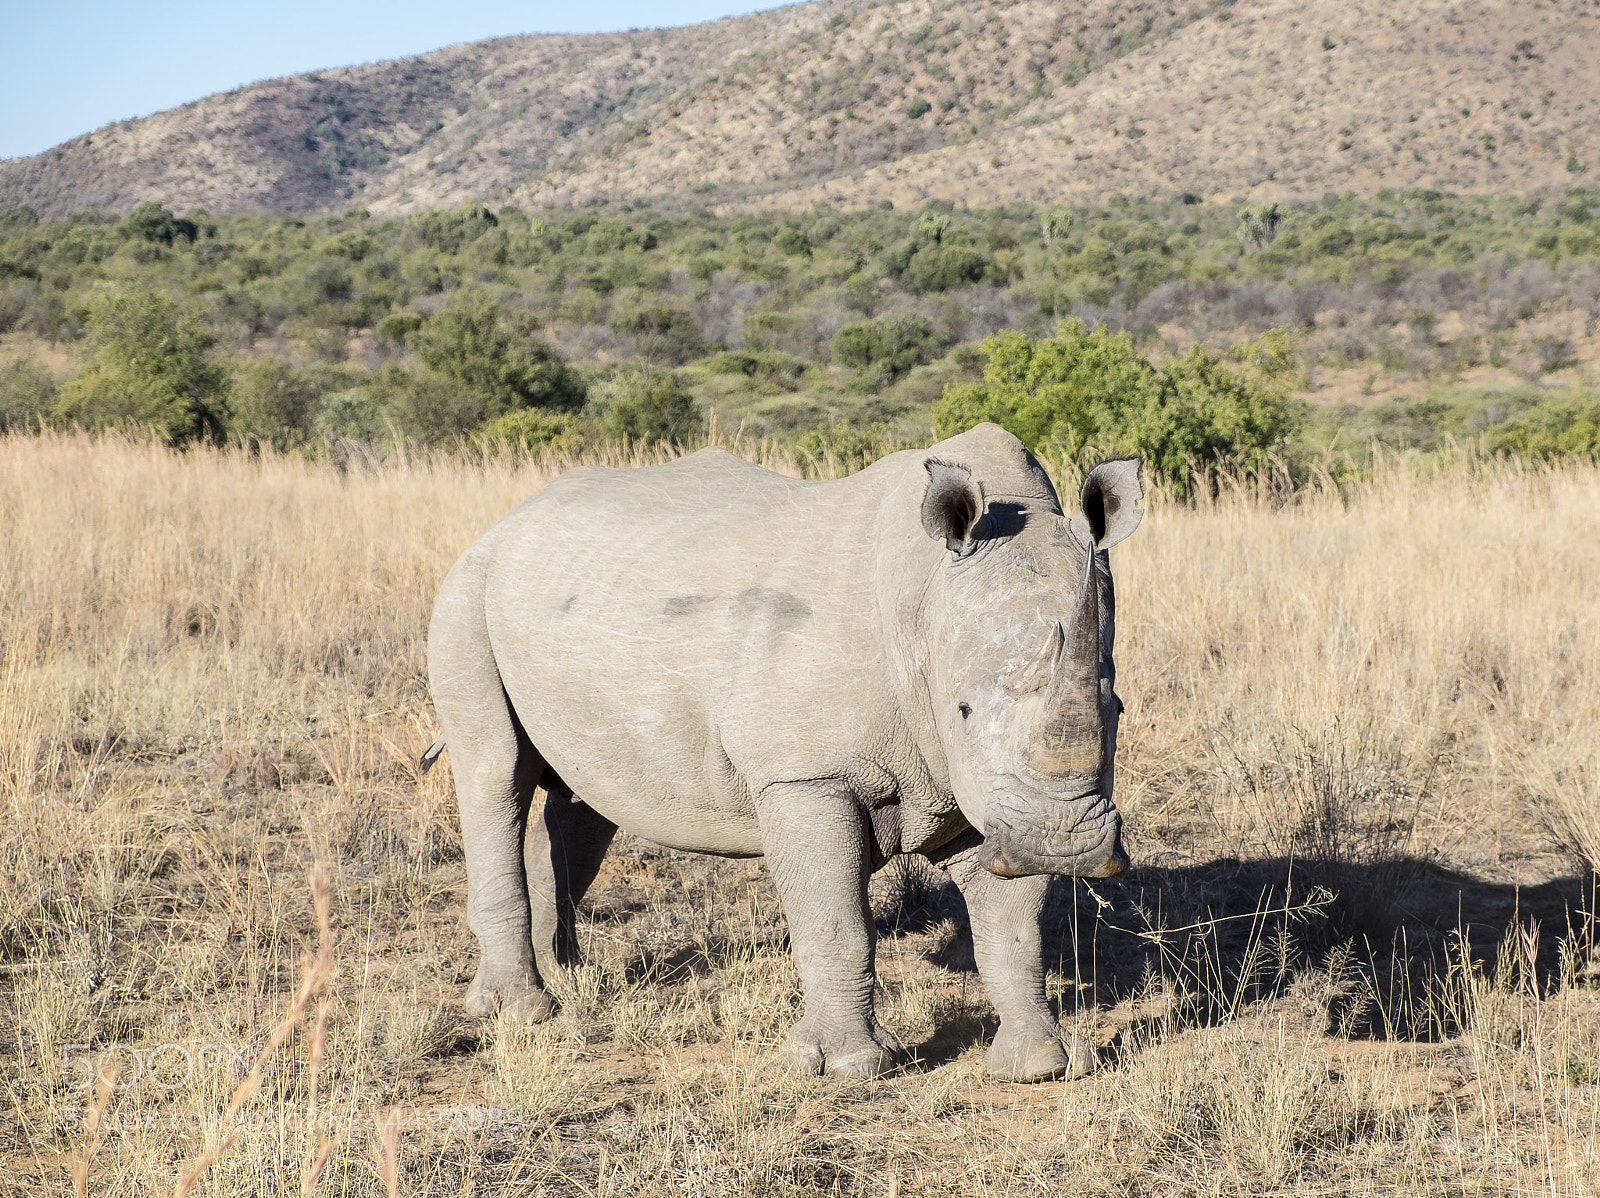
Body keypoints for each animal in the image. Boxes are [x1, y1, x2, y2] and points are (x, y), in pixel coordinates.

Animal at [425, 422, 1143, 1081]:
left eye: (1116, 710)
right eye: (963, 710)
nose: (1066, 847)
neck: (925, 593)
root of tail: (506, 522)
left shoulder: (996, 802)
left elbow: (1014, 927)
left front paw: (1044, 1066)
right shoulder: (806, 775)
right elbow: (836, 922)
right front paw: (847, 1067)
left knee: (583, 799)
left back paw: (570, 979)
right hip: (465, 592)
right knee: (495, 773)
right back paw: (521, 1012)